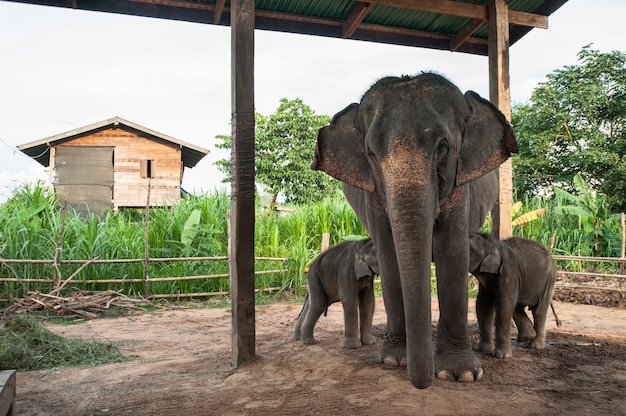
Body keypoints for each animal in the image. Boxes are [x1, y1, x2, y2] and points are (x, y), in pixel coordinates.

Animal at [310, 72, 516, 390]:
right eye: (371, 153)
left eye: (443, 147)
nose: (422, 382)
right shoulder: (374, 196)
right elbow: (389, 255)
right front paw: (395, 360)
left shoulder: (460, 188)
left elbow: (452, 252)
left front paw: (461, 374)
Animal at [468, 232, 556, 360]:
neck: (494, 244)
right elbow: (483, 304)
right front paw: (481, 350)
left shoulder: (509, 272)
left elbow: (504, 304)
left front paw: (501, 356)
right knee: (517, 306)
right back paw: (527, 337)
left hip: (548, 280)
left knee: (538, 310)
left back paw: (534, 346)